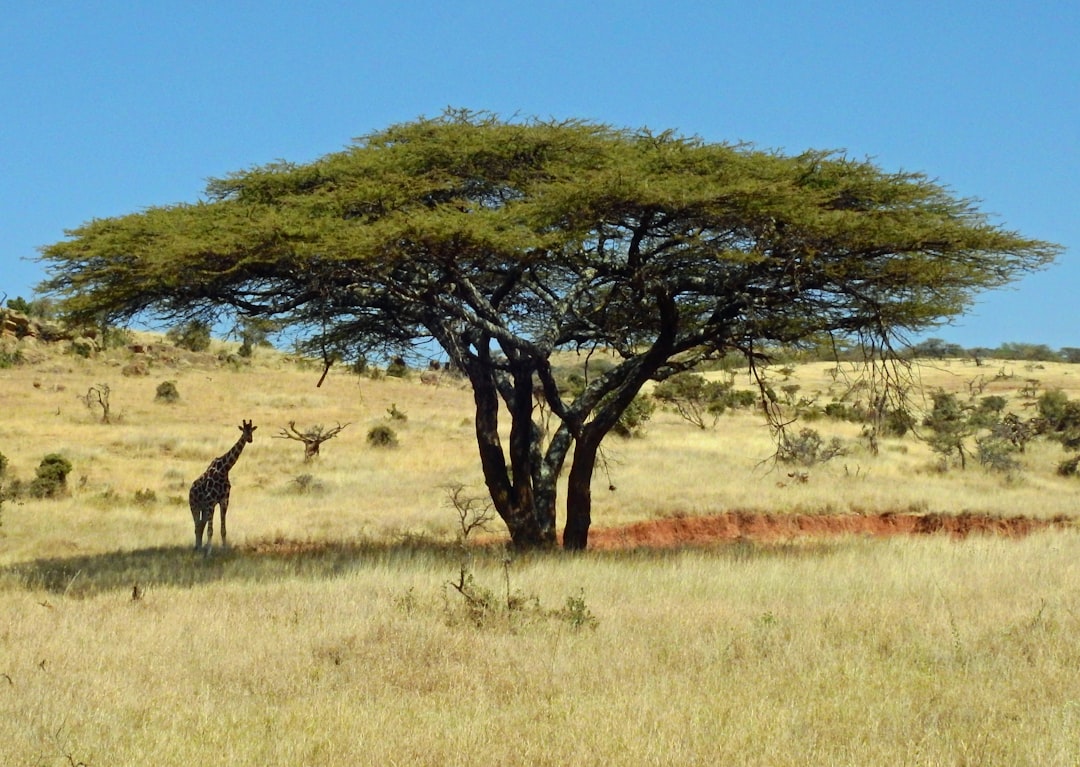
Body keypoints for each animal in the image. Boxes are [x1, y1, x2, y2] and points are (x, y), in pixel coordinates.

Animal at [189, 420, 257, 552]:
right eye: (244, 430)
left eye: (251, 430)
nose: (250, 439)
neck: (224, 470)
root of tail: (190, 489)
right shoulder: (211, 501)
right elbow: (210, 530)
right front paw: (209, 551)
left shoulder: (224, 500)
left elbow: (223, 529)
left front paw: (224, 549)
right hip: (194, 506)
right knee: (196, 525)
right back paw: (197, 547)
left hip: (204, 508)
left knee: (200, 525)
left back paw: (200, 547)